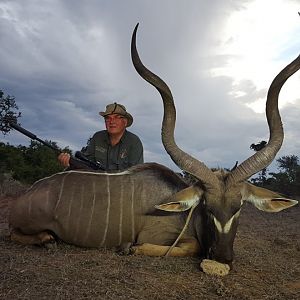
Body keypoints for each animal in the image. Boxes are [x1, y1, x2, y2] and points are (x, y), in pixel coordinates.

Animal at [9, 24, 298, 270]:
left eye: (238, 208)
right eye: (207, 207)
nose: (223, 257)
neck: (187, 215)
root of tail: (23, 197)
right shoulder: (159, 235)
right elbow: (190, 247)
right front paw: (128, 248)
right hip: (25, 226)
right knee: (15, 233)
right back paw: (48, 239)